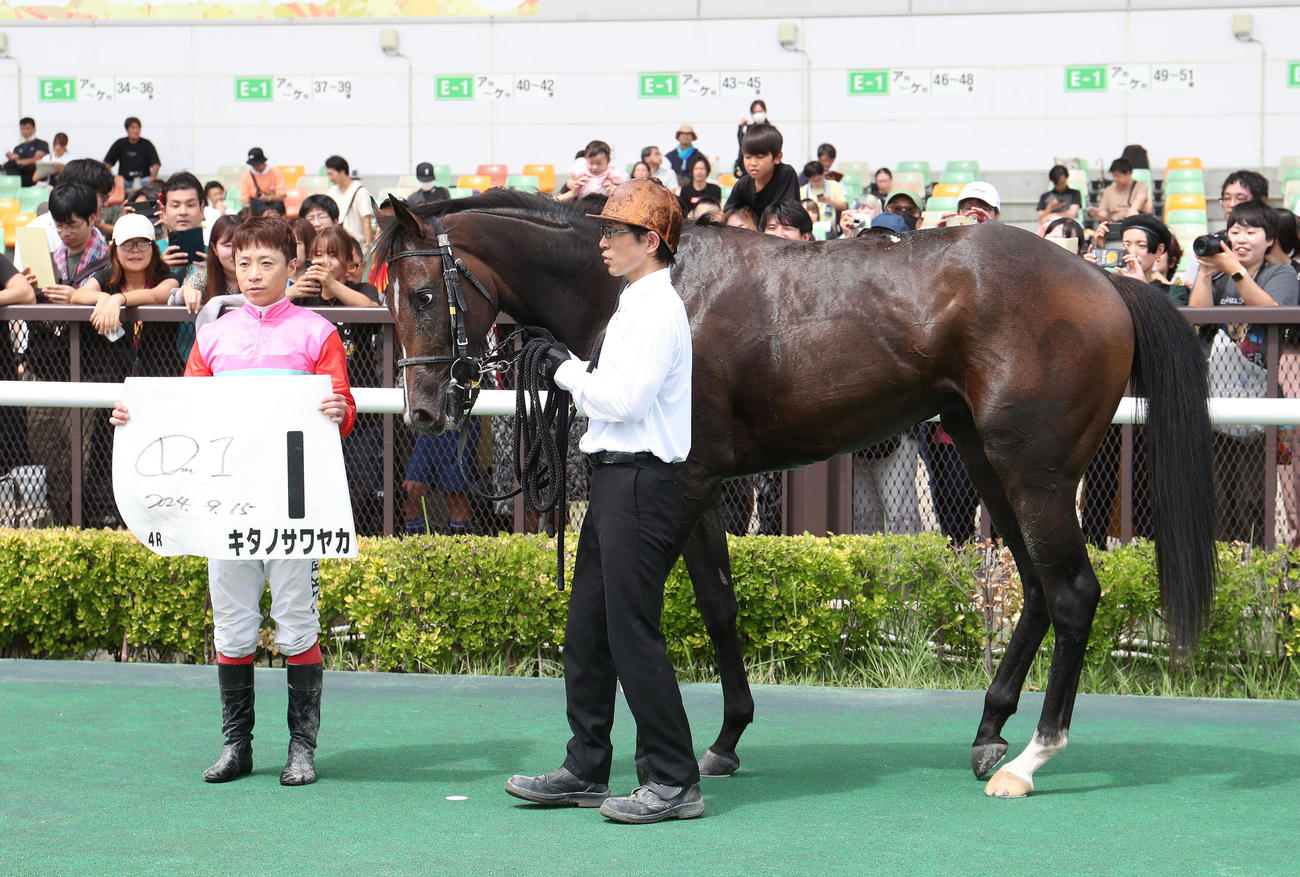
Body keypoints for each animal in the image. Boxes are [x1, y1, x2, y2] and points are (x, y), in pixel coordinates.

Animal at [376, 190, 1215, 798]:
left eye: (421, 292)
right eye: (393, 298)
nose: (423, 411)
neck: (657, 287)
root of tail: (1105, 280)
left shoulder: (687, 475)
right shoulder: (701, 480)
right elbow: (717, 602)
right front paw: (723, 741)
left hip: (1034, 471)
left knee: (1072, 593)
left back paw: (1028, 759)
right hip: (985, 459)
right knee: (1036, 590)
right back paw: (989, 732)